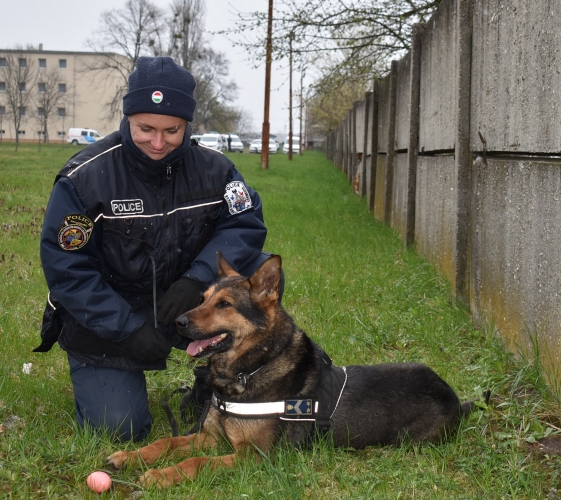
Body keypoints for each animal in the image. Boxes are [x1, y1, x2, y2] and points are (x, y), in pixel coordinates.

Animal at [107, 254, 484, 484]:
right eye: (202, 298)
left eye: (225, 305)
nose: (179, 322)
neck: (251, 370)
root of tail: (454, 397)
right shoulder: (209, 437)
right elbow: (165, 443)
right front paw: (130, 457)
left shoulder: (251, 456)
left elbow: (194, 462)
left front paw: (159, 476)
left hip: (410, 441)